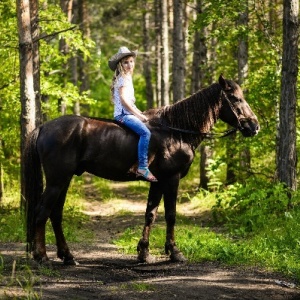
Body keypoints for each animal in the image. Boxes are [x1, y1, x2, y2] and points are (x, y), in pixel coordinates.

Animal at [24, 75, 258, 264]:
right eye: (236, 99)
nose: (254, 126)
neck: (176, 132)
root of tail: (44, 127)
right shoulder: (171, 179)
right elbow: (171, 215)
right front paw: (174, 252)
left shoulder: (158, 182)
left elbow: (150, 215)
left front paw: (144, 253)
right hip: (57, 180)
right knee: (42, 212)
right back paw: (41, 256)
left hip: (64, 180)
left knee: (55, 214)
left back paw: (67, 256)